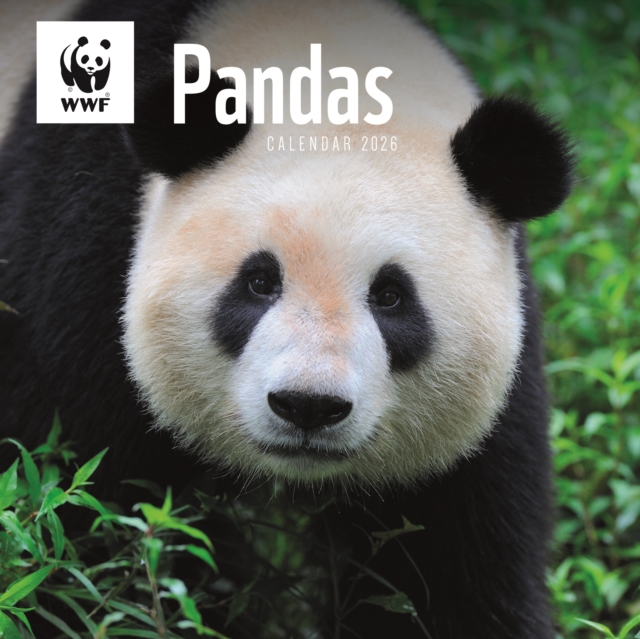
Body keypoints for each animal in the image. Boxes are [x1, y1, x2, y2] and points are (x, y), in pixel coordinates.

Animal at [0, 0, 574, 637]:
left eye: (391, 297)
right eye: (259, 282)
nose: (308, 406)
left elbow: (452, 572)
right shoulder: (81, 254)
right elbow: (75, 516)